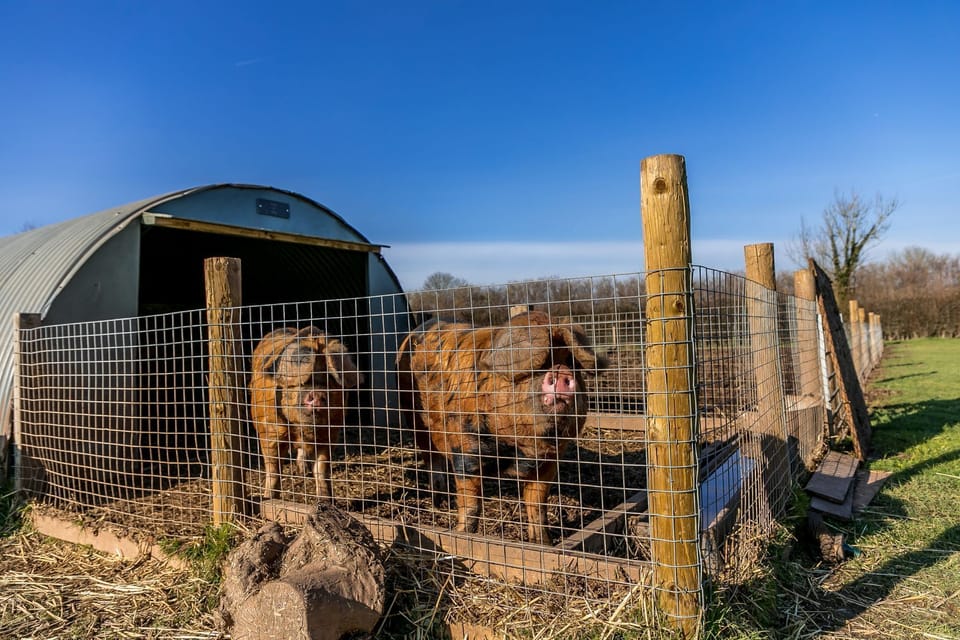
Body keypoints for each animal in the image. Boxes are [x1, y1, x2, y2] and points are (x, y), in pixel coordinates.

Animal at [250, 326, 363, 500]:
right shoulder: (269, 432)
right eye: (302, 382)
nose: (317, 394)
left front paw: (326, 500)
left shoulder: (330, 434)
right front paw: (269, 498)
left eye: (330, 380)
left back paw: (303, 472)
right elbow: (273, 469)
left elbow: (322, 470)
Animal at [396, 310, 607, 544]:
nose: (560, 371)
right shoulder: (465, 448)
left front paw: (543, 544)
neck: (517, 450)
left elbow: (537, 506)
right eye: (540, 364)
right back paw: (438, 502)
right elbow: (471, 505)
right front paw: (463, 537)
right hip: (414, 417)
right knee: (432, 461)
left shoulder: (549, 461)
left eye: (570, 361)